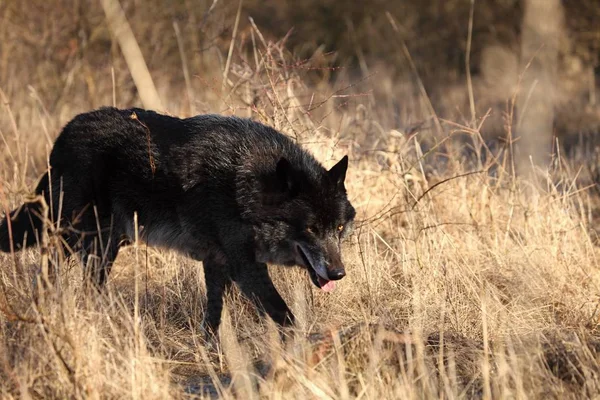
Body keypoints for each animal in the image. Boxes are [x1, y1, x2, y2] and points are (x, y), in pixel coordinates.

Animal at [0, 108, 354, 336]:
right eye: (311, 229)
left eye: (338, 228)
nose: (339, 273)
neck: (250, 186)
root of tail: (62, 137)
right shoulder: (245, 267)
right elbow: (285, 316)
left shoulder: (217, 262)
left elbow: (213, 317)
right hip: (84, 241)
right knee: (51, 277)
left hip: (105, 246)